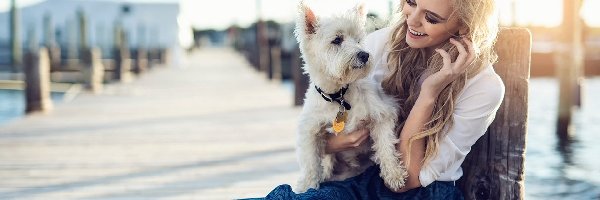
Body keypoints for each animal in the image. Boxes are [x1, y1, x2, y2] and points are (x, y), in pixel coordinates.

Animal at [294, 1, 408, 192]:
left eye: (358, 40)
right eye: (337, 40)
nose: (364, 55)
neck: (339, 95)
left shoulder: (383, 113)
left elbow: (385, 145)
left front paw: (394, 175)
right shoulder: (310, 130)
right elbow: (310, 162)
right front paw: (307, 185)